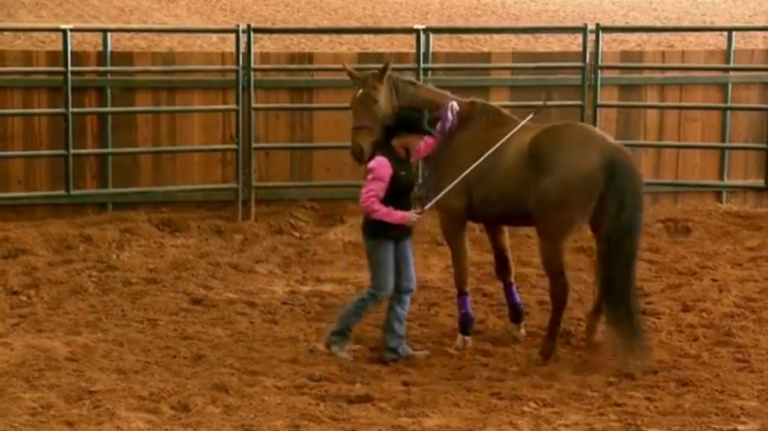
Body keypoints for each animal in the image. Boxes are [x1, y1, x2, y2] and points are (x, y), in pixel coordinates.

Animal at [342, 60, 646, 362]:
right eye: (352, 102)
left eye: (374, 99)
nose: (358, 151)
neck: (456, 134)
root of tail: (611, 150)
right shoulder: (493, 222)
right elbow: (505, 270)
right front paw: (516, 323)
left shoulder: (453, 219)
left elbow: (461, 271)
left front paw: (465, 332)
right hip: (603, 233)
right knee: (604, 280)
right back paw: (591, 334)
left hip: (552, 236)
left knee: (561, 289)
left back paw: (547, 349)